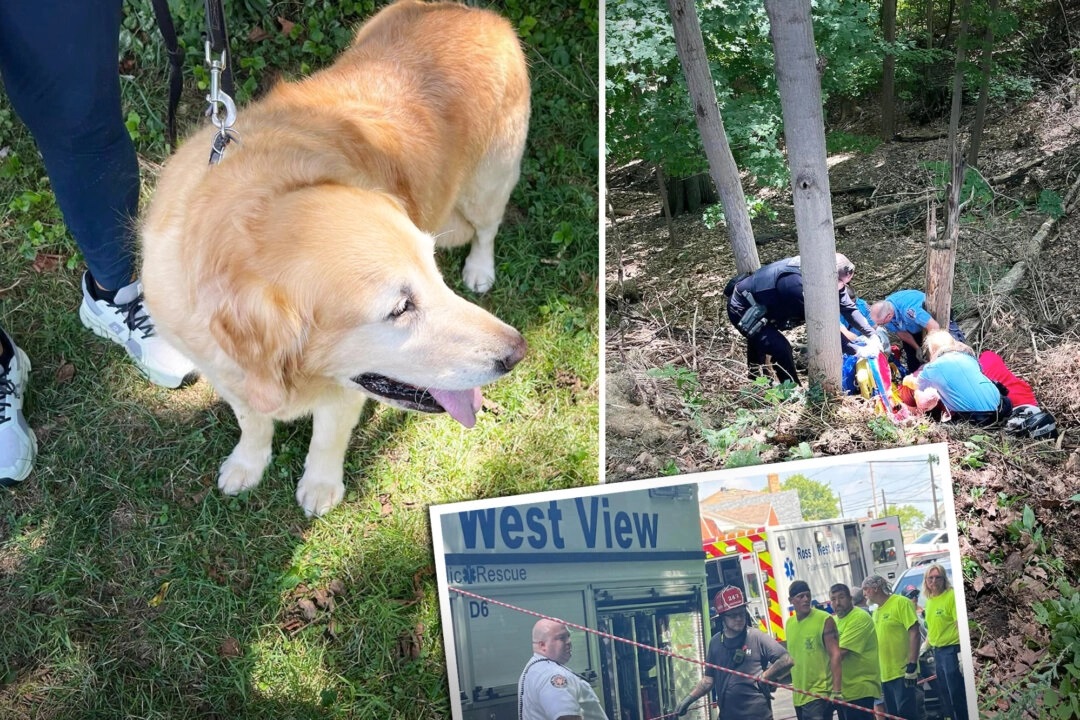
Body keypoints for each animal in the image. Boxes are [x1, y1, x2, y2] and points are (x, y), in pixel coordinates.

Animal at [141, 0, 529, 518]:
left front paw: (320, 486)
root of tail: (476, 12)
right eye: (399, 308)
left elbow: (326, 438)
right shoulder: (225, 371)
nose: (518, 352)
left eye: (433, 274)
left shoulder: (345, 389)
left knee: (487, 228)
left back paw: (480, 269)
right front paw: (247, 463)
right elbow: (252, 421)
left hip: (491, 180)